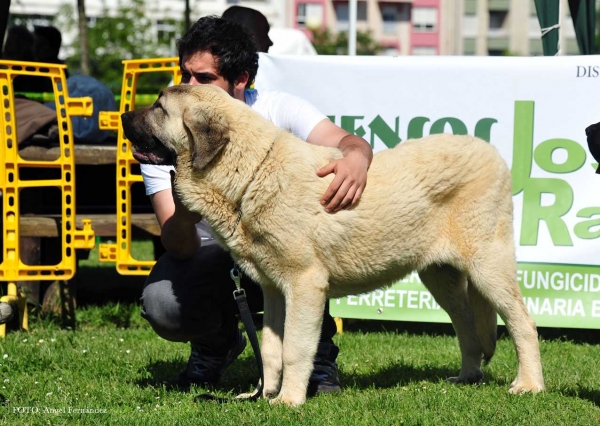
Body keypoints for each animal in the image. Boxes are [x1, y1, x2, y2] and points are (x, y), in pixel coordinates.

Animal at [120, 83, 544, 406]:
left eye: (158, 107)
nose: (122, 117)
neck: (251, 173)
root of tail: (491, 152)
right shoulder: (275, 290)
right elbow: (271, 349)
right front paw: (263, 394)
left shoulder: (304, 285)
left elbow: (294, 348)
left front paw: (288, 401)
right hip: (441, 278)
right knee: (467, 325)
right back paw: (467, 377)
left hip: (487, 266)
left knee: (522, 323)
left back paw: (529, 385)